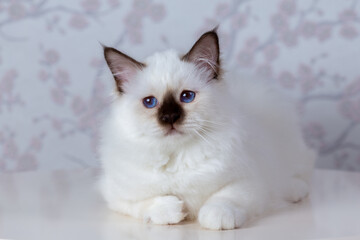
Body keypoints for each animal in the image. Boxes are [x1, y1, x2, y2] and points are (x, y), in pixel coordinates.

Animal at [99, 30, 316, 231]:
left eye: (187, 96)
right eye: (150, 102)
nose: (170, 118)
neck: (178, 156)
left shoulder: (249, 181)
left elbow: (225, 198)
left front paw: (217, 218)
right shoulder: (116, 194)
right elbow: (148, 203)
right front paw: (173, 210)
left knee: (298, 175)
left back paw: (295, 190)